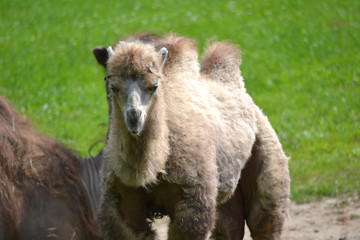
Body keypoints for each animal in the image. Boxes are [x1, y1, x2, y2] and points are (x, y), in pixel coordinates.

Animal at [95, 32, 290, 239]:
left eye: (154, 86)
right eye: (112, 86)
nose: (134, 117)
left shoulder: (193, 199)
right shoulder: (122, 201)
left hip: (266, 157)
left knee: (263, 220)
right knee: (229, 227)